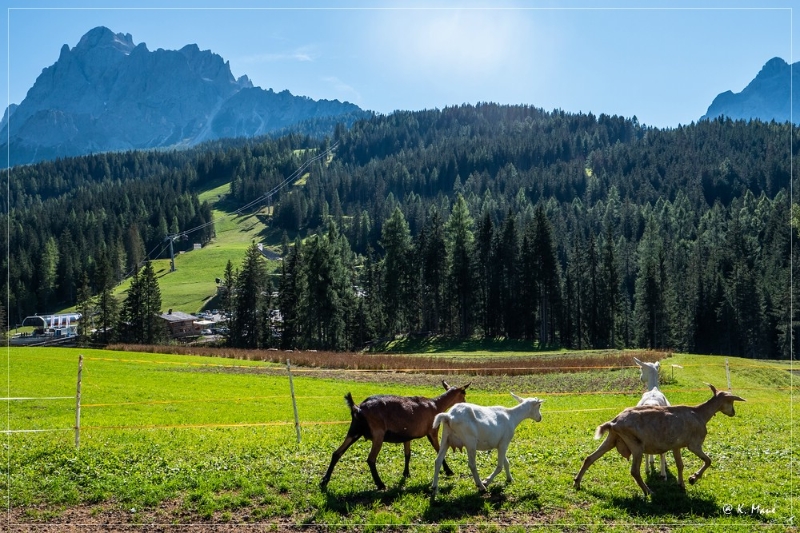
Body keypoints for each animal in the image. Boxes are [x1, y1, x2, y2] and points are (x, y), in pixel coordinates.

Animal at [318, 380, 468, 488]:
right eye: (464, 393)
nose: (466, 404)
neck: (435, 405)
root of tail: (358, 408)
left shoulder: (407, 435)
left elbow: (408, 454)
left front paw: (406, 473)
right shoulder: (432, 431)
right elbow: (439, 451)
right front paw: (449, 471)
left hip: (354, 431)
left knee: (337, 453)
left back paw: (324, 481)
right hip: (378, 433)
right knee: (370, 459)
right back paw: (380, 484)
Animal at [572, 384, 748, 496]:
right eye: (731, 401)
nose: (733, 413)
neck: (700, 414)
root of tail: (614, 422)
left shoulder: (677, 445)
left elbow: (680, 465)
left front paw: (682, 484)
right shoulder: (694, 444)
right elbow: (708, 460)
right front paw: (693, 479)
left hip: (612, 438)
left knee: (589, 458)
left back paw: (577, 483)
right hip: (636, 444)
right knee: (634, 471)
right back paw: (649, 491)